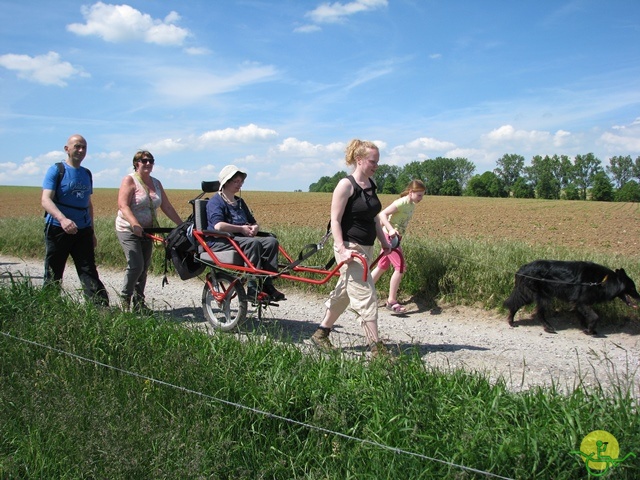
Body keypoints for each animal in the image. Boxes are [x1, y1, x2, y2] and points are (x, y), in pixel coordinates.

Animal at [504, 260, 640, 336]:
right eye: (633, 288)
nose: (639, 297)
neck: (602, 281)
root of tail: (523, 268)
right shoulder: (582, 302)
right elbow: (595, 317)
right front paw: (590, 330)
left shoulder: (578, 303)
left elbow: (582, 317)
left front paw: (586, 329)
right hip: (538, 296)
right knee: (530, 310)